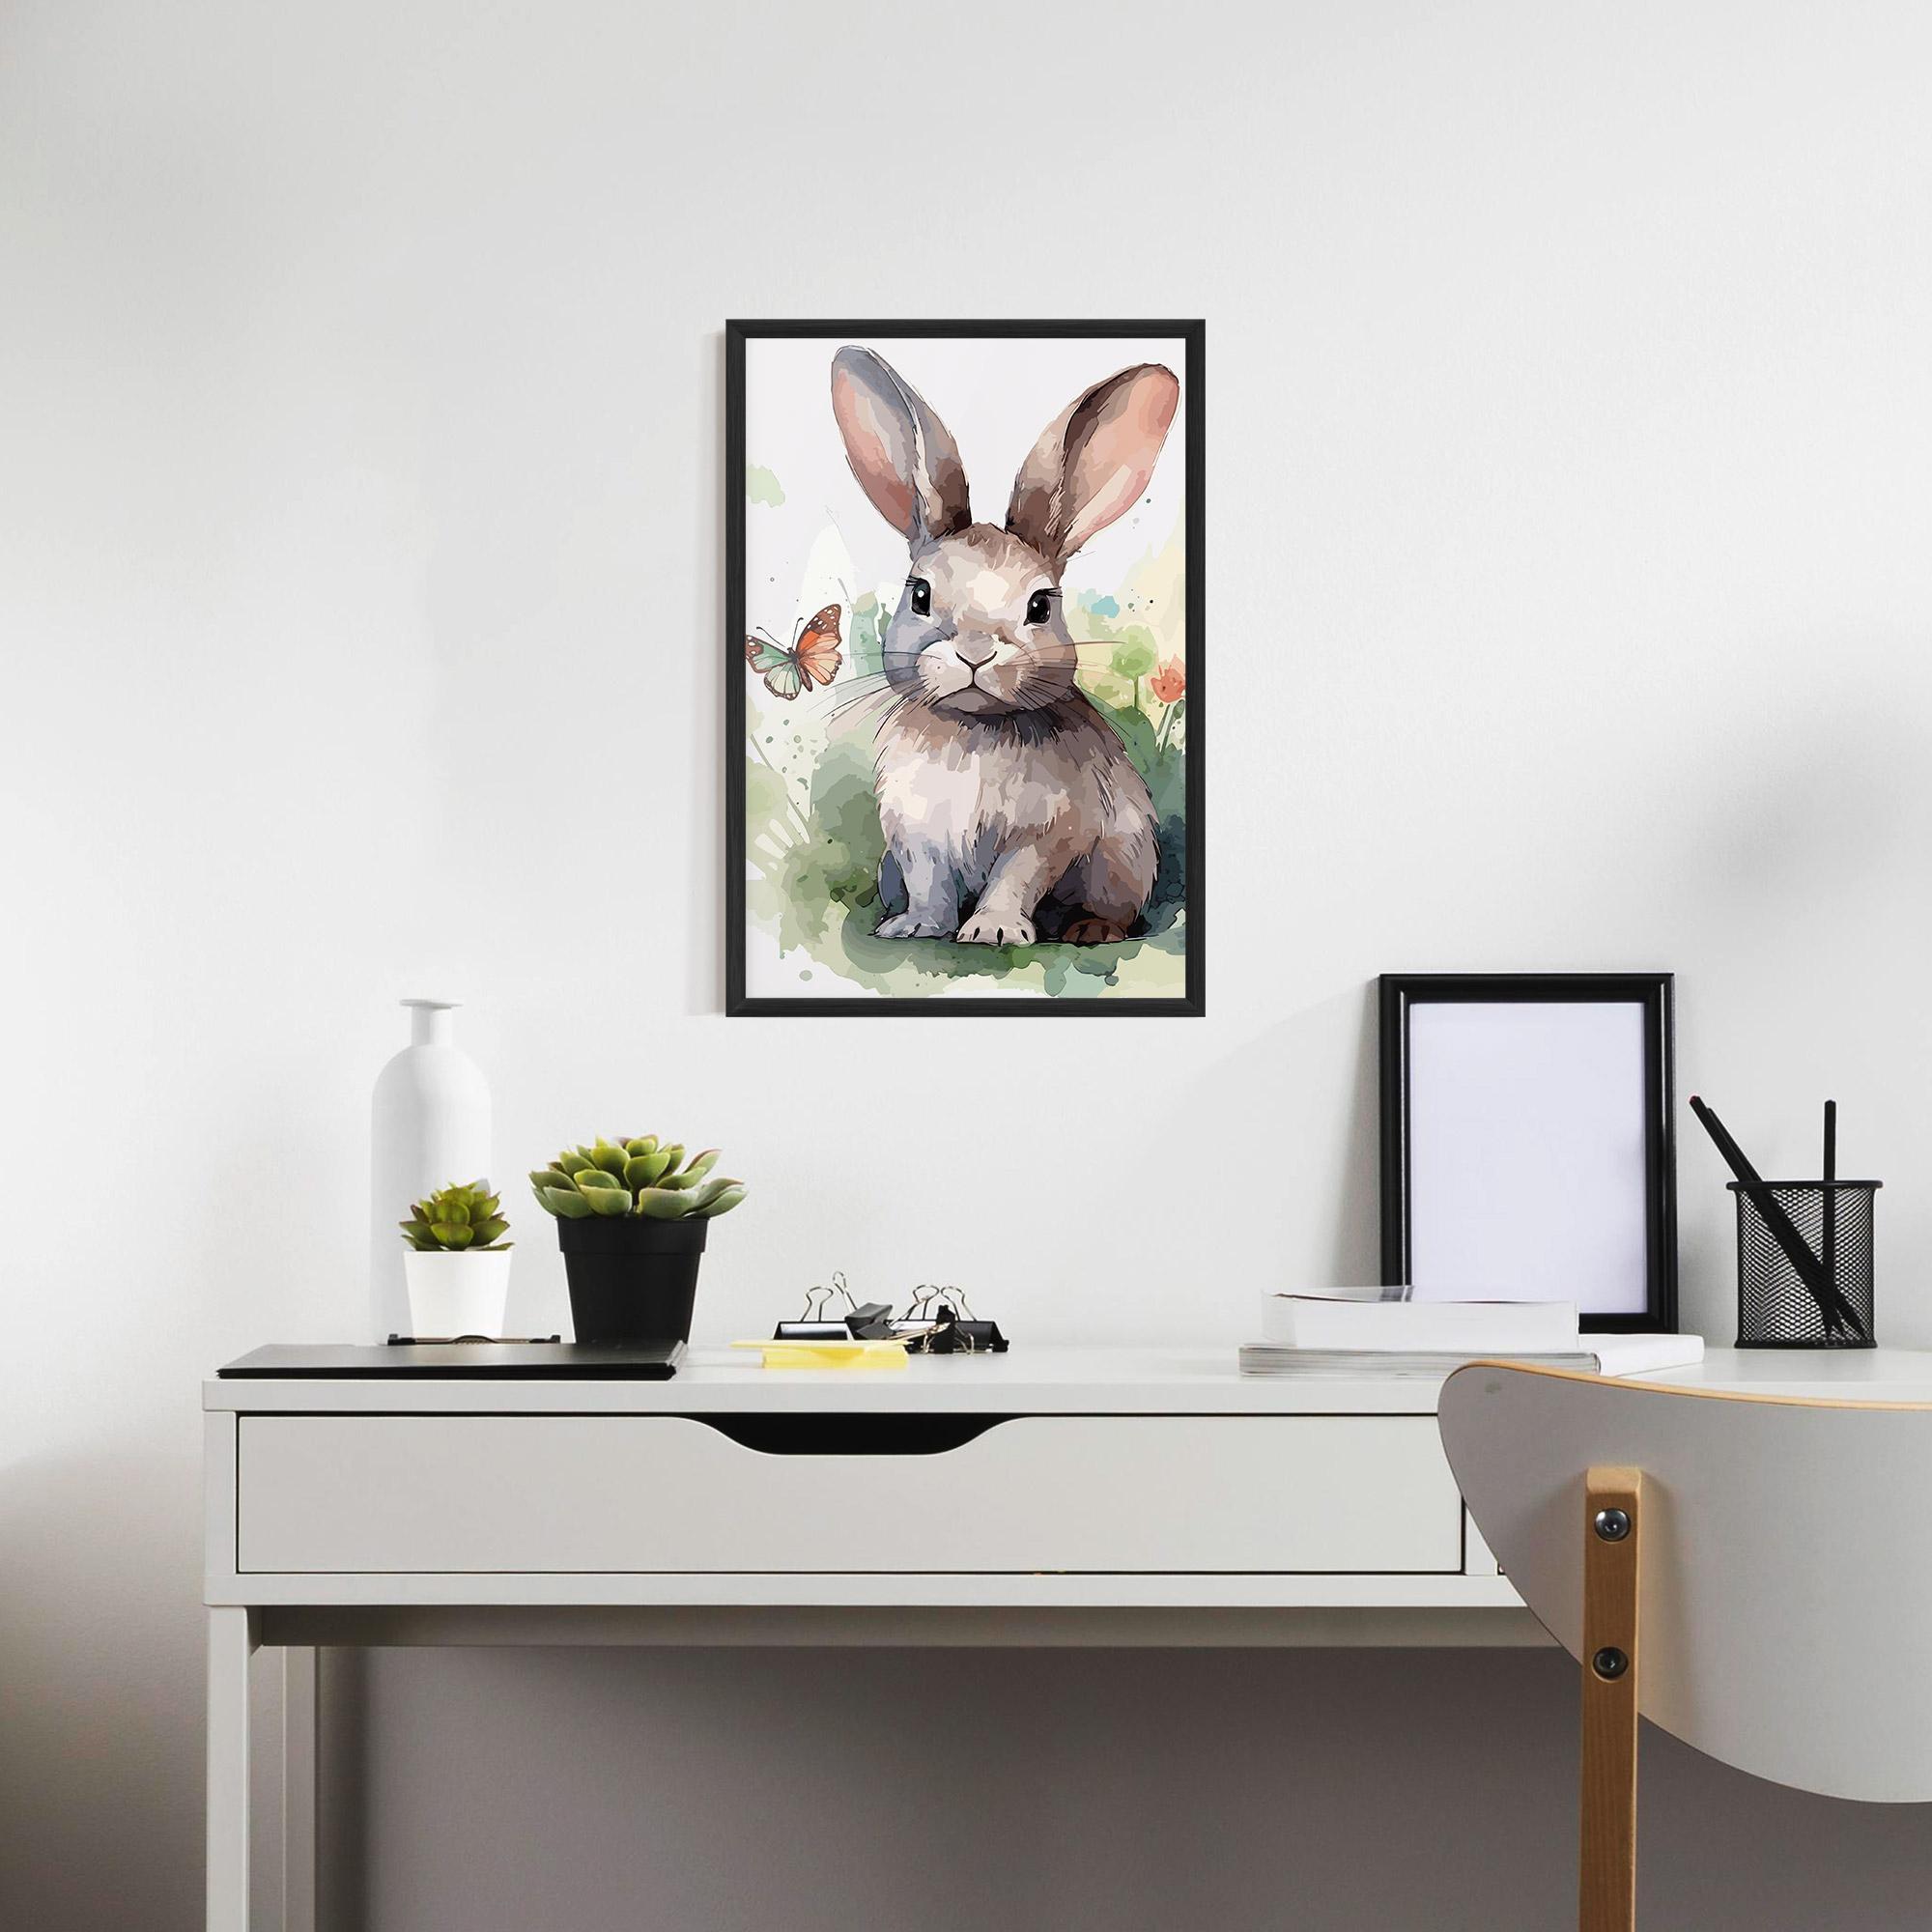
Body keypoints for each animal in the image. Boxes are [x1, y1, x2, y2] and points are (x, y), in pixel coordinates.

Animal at [829, 344, 1180, 947]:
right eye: (920, 595)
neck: (975, 729)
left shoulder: (1044, 836)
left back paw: (1088, 930)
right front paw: (917, 928)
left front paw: (992, 931)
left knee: (1114, 909)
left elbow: (1015, 879)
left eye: (1040, 606)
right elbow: (930, 885)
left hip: (1125, 862)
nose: (975, 652)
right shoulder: (917, 838)